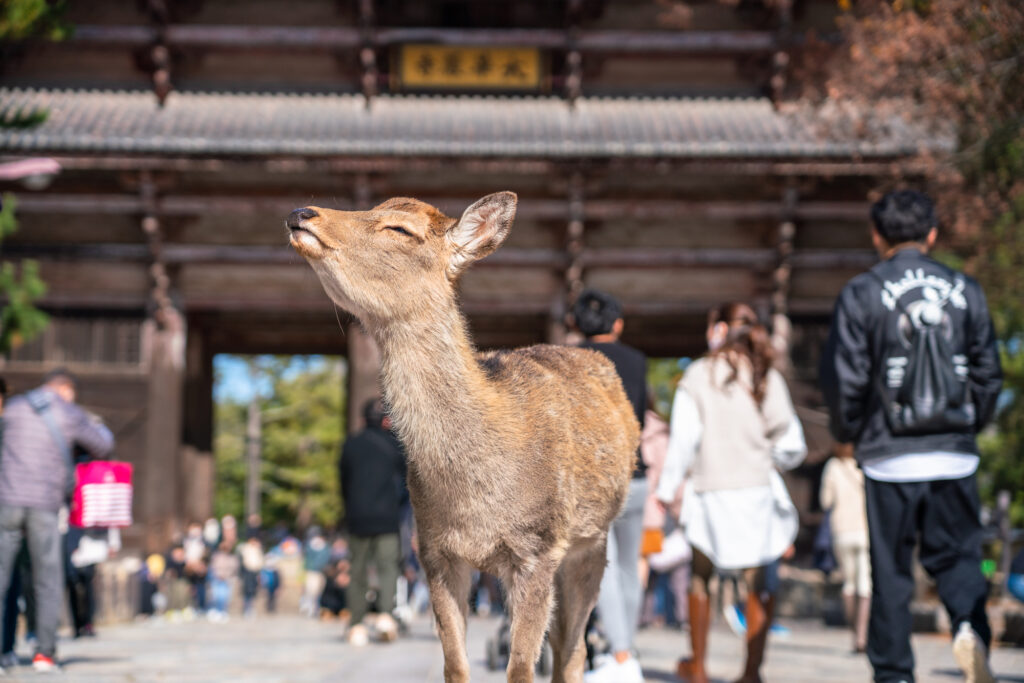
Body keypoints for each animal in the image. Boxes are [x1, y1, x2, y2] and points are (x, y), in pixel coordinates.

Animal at [286, 192, 639, 683]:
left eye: (400, 229)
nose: (302, 213)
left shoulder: (538, 548)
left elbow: (521, 668)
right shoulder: (435, 550)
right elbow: (455, 664)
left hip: (592, 540)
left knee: (574, 650)